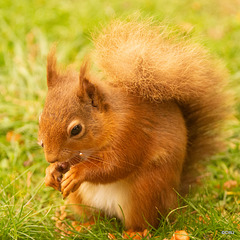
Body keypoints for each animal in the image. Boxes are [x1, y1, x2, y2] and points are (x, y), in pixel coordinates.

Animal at [38, 19, 228, 231]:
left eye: (76, 129)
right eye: (40, 117)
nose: (50, 157)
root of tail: (174, 200)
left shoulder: (130, 132)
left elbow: (115, 165)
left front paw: (78, 172)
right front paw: (51, 172)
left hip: (145, 191)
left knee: (143, 222)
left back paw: (134, 232)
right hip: (81, 199)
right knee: (96, 219)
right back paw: (83, 226)